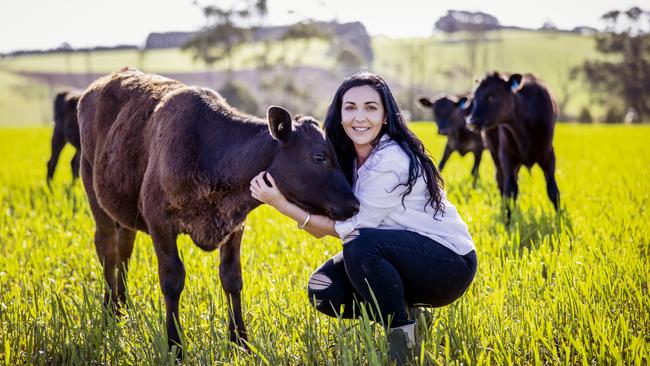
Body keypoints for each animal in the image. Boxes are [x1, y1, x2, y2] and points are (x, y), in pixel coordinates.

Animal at [78, 67, 360, 356]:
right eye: (319, 157)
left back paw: (121, 306)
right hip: (92, 189)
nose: (354, 204)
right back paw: (109, 312)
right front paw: (175, 346)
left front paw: (240, 342)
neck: (209, 155)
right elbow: (172, 280)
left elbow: (231, 277)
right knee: (108, 250)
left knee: (124, 248)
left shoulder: (235, 224)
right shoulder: (160, 222)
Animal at [466, 72, 556, 217]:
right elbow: (510, 192)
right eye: (474, 98)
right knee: (501, 181)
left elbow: (553, 190)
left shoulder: (548, 155)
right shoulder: (507, 156)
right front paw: (508, 220)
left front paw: (560, 217)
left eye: (491, 96)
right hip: (495, 153)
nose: (470, 121)